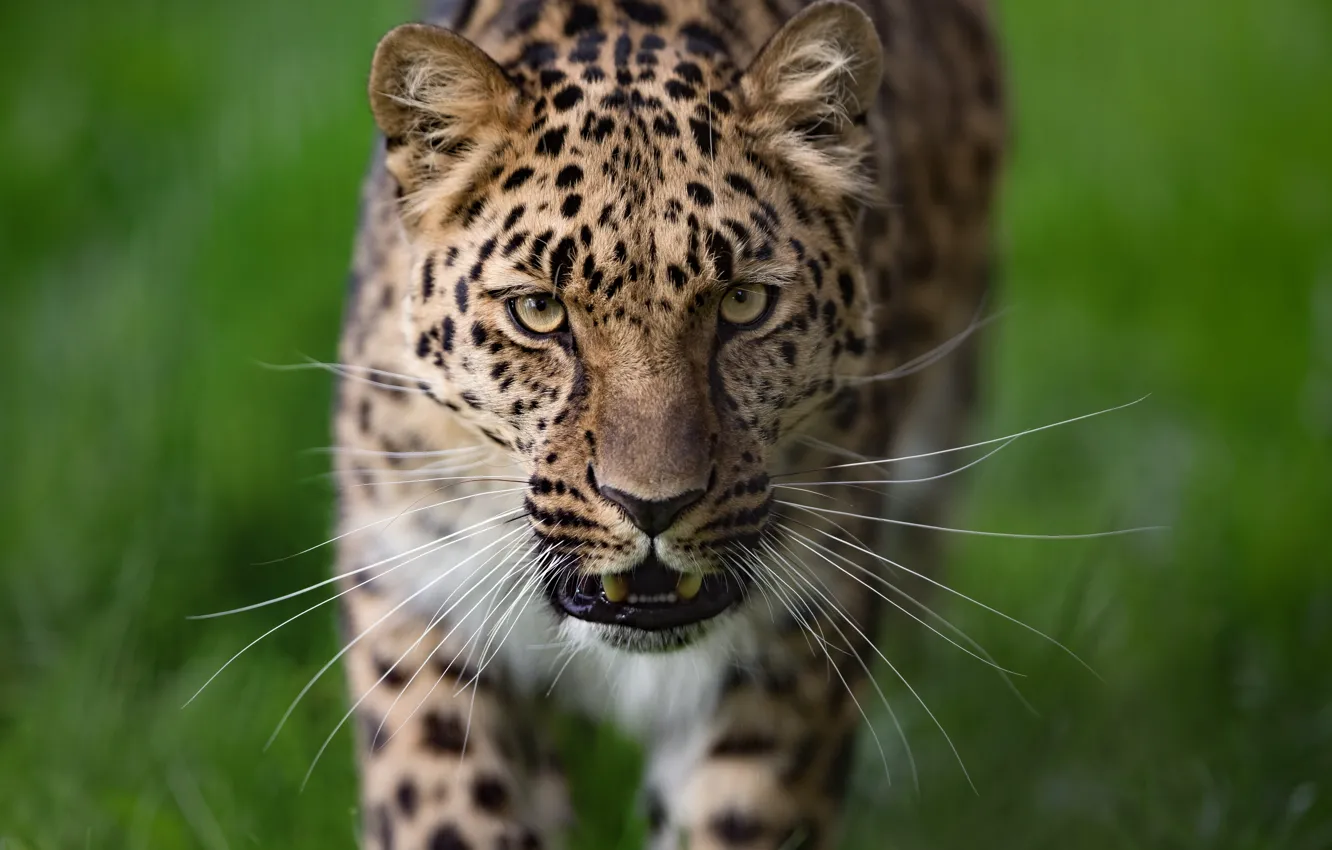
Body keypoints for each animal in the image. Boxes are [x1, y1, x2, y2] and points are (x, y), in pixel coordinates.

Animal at [332, 0, 1004, 847]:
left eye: (744, 303)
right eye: (538, 310)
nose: (652, 505)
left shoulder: (799, 632)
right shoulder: (413, 588)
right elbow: (446, 805)